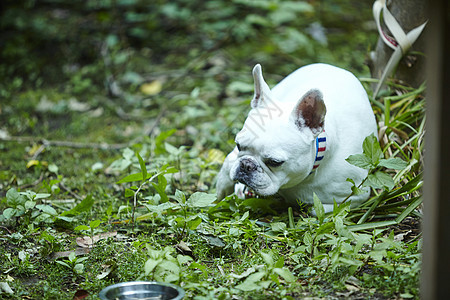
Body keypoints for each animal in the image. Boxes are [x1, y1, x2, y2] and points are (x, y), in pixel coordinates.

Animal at [216, 63, 378, 213]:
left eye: (275, 162)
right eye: (238, 145)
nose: (246, 165)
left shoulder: (356, 195)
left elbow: (317, 209)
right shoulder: (232, 158)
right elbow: (225, 172)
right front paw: (221, 196)